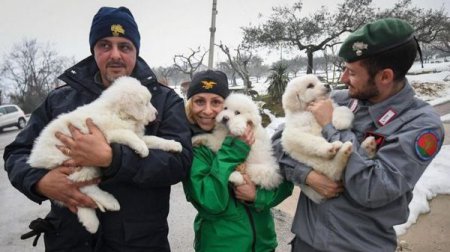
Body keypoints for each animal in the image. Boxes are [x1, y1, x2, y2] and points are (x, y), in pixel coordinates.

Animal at [28, 76, 182, 233]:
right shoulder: (107, 135)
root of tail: (35, 159)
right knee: (82, 186)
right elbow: (127, 135)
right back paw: (109, 202)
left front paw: (173, 144)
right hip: (77, 162)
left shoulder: (137, 134)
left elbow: (153, 139)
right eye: (145, 103)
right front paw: (142, 148)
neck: (118, 114)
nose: (156, 114)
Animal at [284, 74, 374, 203]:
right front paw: (328, 147)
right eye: (310, 86)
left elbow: (343, 109)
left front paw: (340, 122)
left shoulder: (333, 106)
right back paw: (340, 149)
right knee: (333, 169)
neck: (309, 111)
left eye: (319, 80)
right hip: (318, 165)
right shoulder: (292, 134)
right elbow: (313, 140)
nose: (327, 85)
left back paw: (369, 146)